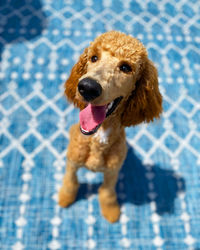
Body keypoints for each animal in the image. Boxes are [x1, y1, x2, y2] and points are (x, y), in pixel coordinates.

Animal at [58, 31, 162, 223]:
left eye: (126, 67)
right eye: (94, 57)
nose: (87, 87)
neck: (98, 139)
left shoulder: (112, 173)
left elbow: (106, 192)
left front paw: (111, 210)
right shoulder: (72, 162)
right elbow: (70, 181)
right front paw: (65, 197)